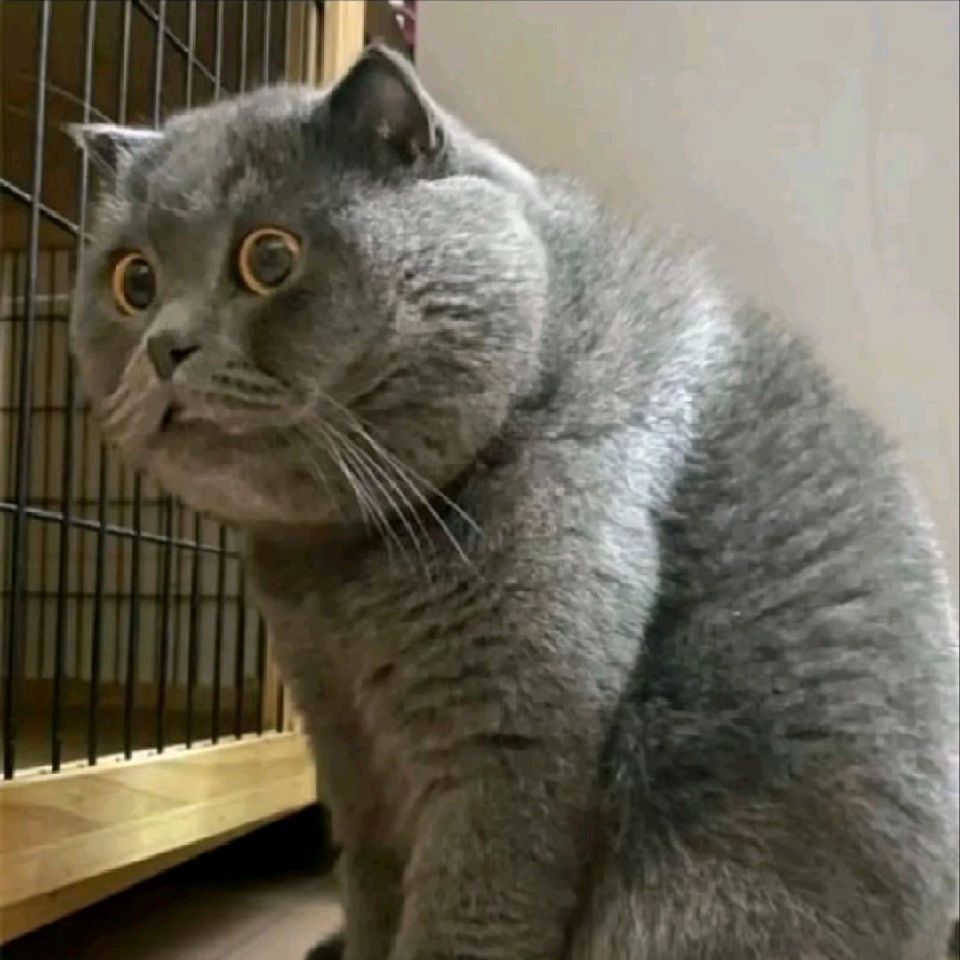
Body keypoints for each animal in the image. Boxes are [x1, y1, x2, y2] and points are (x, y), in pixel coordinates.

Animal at [69, 44, 958, 960]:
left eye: (269, 259)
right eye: (134, 281)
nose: (164, 346)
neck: (338, 579)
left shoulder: (505, 749)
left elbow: (465, 921)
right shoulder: (346, 745)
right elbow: (372, 890)